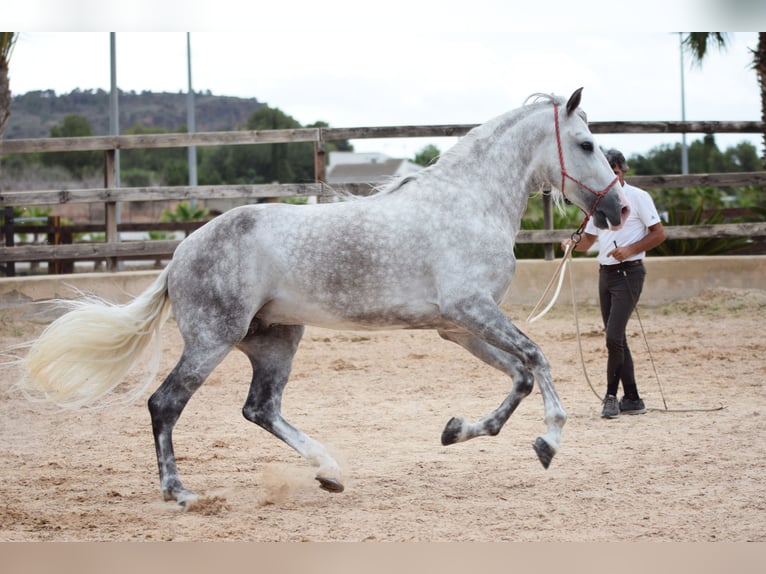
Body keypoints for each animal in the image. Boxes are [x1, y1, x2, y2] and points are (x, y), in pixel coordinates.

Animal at [21, 88, 628, 506]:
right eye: (587, 144)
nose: (618, 209)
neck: (468, 202)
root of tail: (181, 252)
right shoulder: (470, 311)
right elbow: (537, 358)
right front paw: (549, 441)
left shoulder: (456, 326)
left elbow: (520, 373)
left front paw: (457, 430)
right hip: (212, 340)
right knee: (165, 404)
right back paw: (181, 492)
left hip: (276, 340)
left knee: (260, 408)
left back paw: (329, 471)